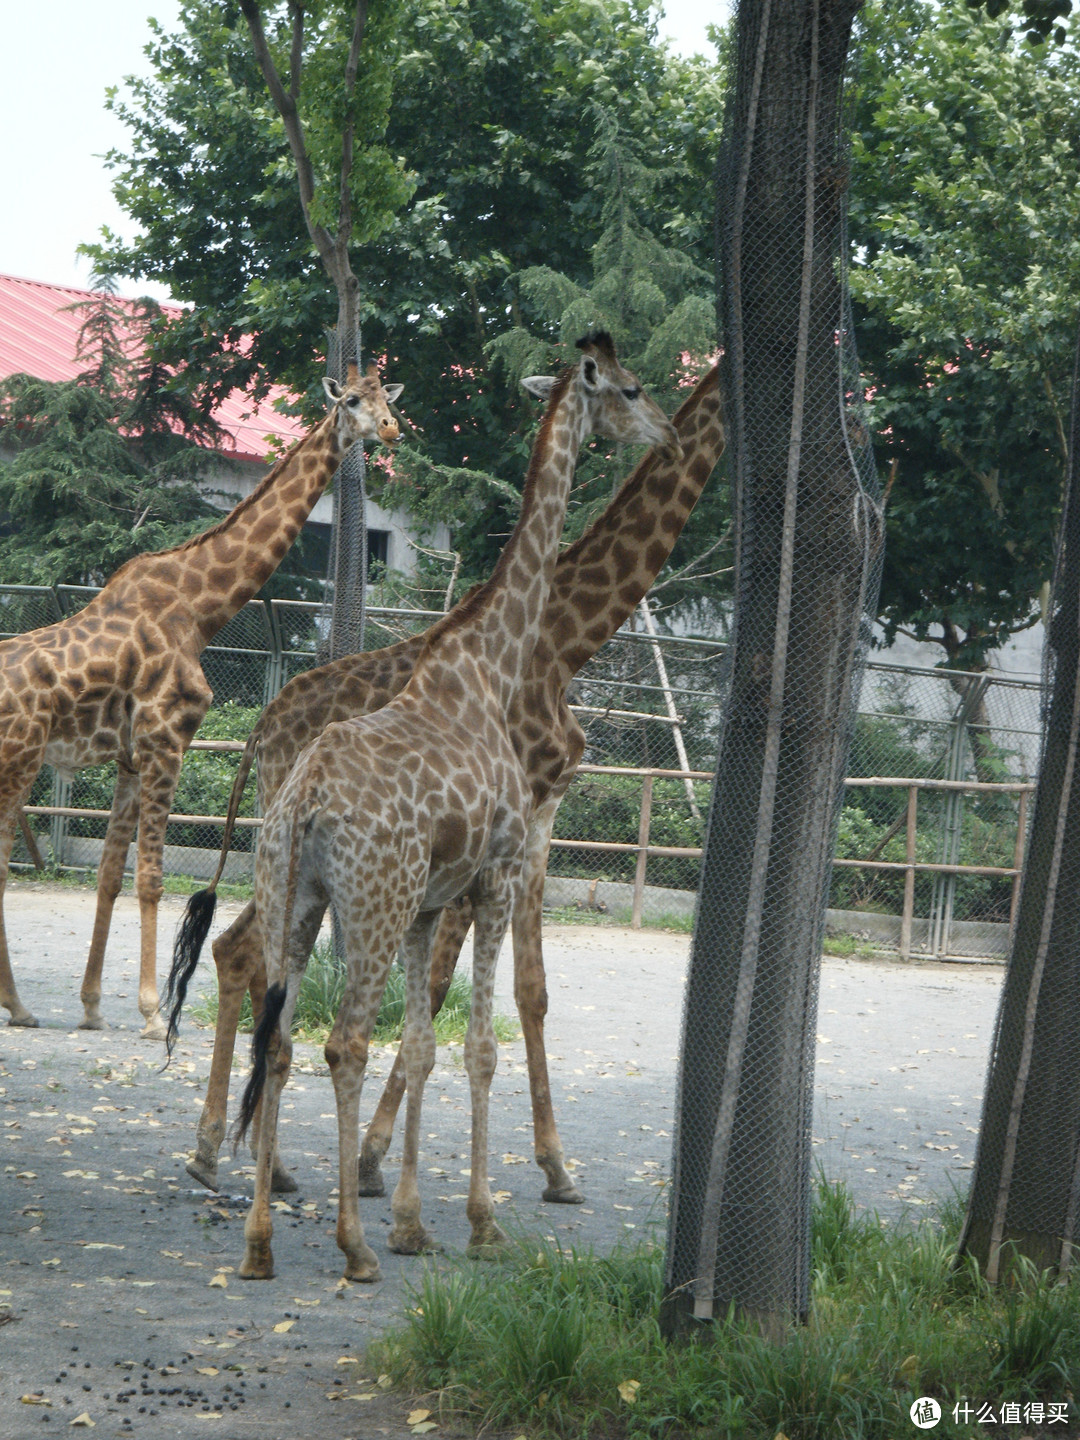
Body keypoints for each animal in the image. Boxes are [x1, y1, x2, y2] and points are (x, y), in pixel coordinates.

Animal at [0, 358, 403, 1036]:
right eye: (351, 400)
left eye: (386, 398)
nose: (394, 430)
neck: (201, 608)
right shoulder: (167, 741)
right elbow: (150, 878)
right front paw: (148, 1011)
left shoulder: (131, 757)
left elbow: (110, 875)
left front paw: (91, 1006)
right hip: (21, 758)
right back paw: (20, 1006)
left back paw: (22, 1005)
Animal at [171, 365, 728, 1198]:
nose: (673, 437)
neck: (565, 641)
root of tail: (263, 729)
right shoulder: (490, 836)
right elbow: (438, 988)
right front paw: (376, 1161)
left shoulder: (539, 817)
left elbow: (530, 990)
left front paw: (555, 1168)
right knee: (251, 955)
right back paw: (231, 1155)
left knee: (245, 954)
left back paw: (244, 1159)